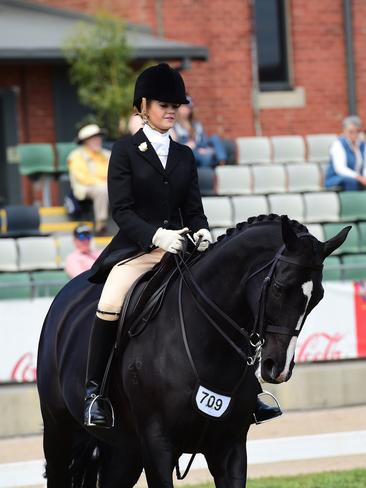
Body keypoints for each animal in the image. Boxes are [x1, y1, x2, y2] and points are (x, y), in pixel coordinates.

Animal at [36, 215, 348, 486]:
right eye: (281, 287)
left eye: (318, 297)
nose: (278, 367)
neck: (208, 348)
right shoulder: (157, 447)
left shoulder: (230, 448)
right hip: (58, 431)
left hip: (125, 449)